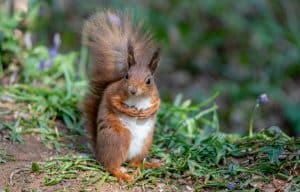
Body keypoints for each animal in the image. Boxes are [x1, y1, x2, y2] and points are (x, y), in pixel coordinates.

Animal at [81, 11, 162, 182]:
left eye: (149, 81)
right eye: (126, 76)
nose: (132, 90)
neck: (137, 99)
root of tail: (99, 151)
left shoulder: (155, 96)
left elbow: (158, 104)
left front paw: (147, 112)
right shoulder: (113, 91)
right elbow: (113, 101)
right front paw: (130, 111)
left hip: (144, 144)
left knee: (134, 163)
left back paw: (149, 165)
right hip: (120, 138)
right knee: (111, 166)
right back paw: (124, 175)